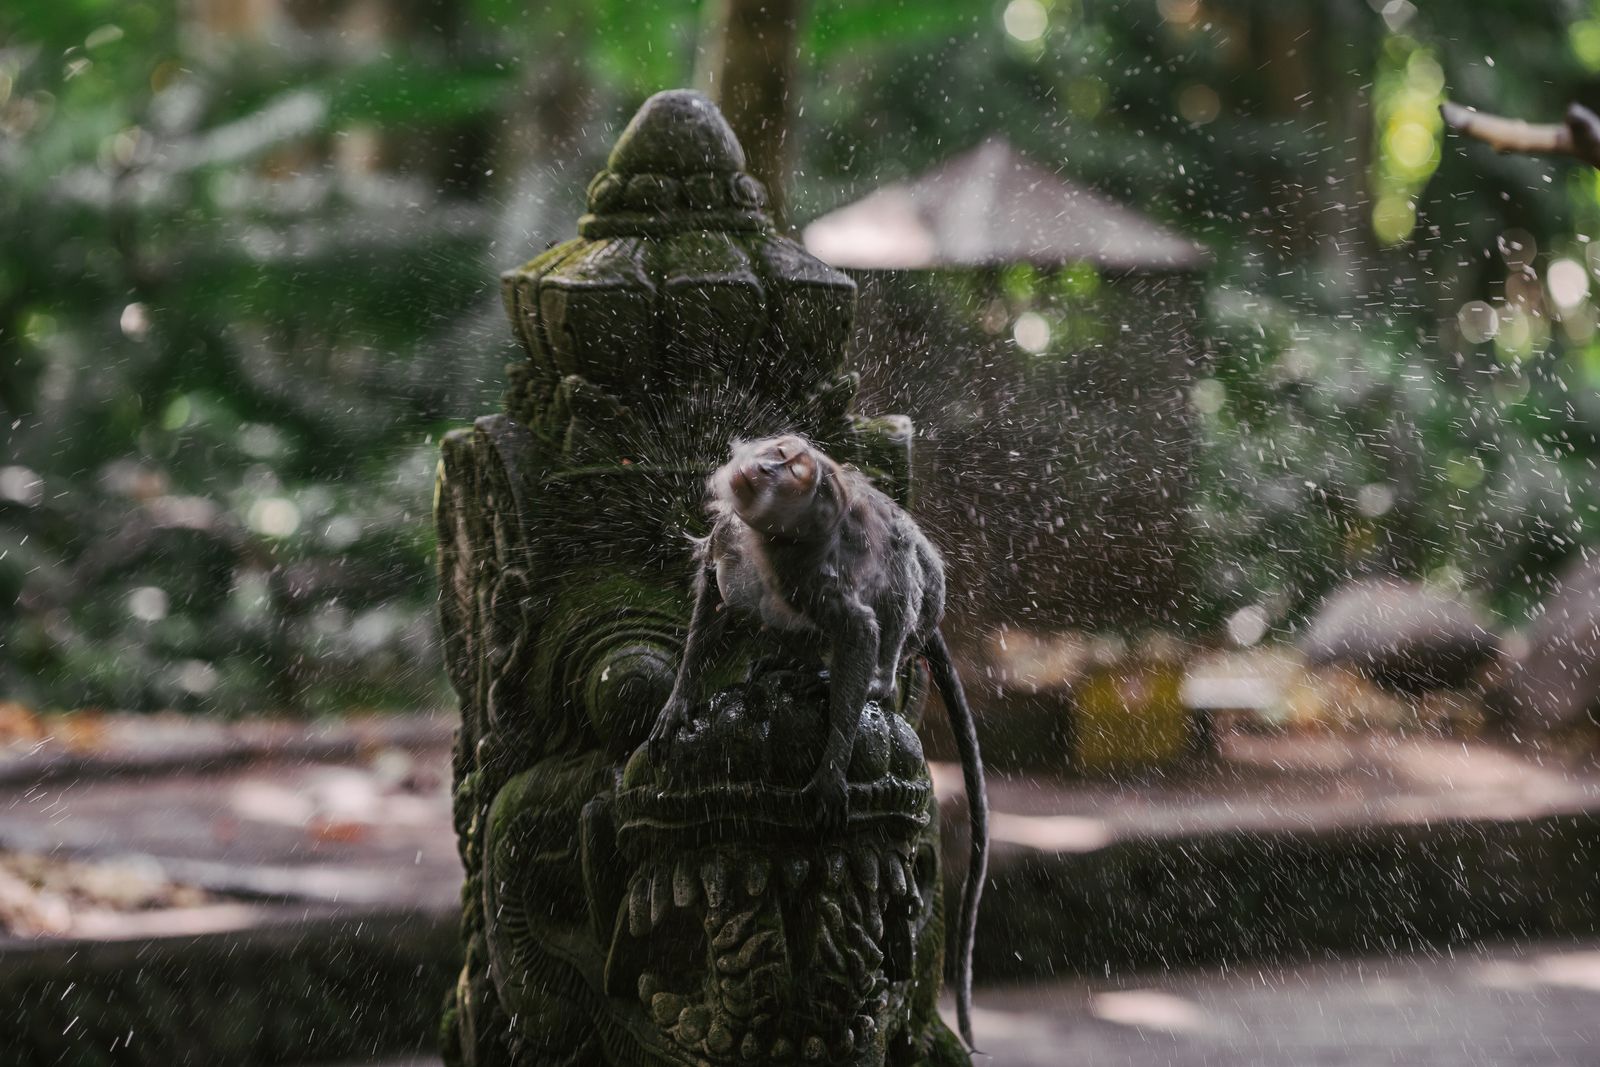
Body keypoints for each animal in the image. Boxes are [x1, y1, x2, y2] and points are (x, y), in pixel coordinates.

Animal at [646, 433, 988, 1051]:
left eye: (794, 467)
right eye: (779, 452)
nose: (772, 464)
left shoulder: (800, 569)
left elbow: (857, 625)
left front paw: (831, 768)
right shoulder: (736, 536)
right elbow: (713, 592)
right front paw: (679, 700)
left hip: (922, 606)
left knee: (897, 577)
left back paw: (866, 681)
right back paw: (785, 666)